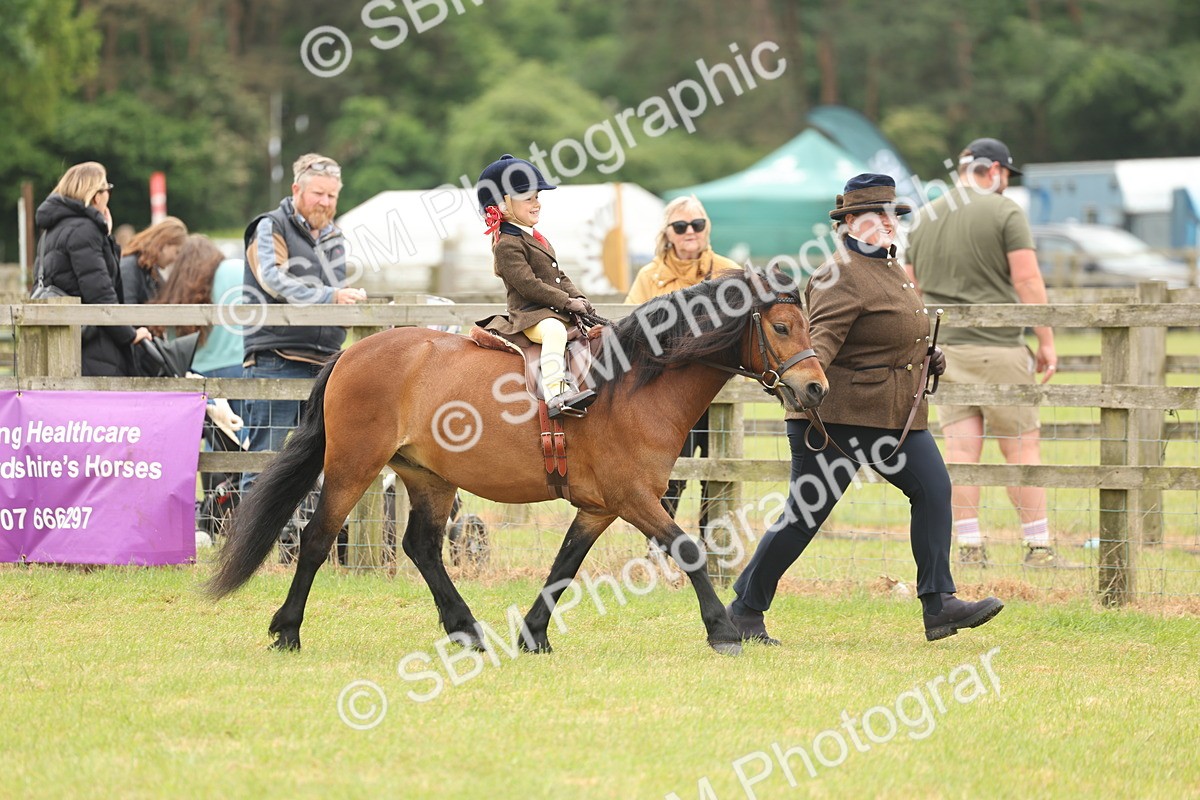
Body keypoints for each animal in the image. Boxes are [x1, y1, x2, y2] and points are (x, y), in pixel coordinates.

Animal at [207, 267, 828, 655]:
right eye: (781, 327)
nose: (816, 389)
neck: (629, 384)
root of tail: (353, 350)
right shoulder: (634, 499)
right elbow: (690, 550)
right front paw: (723, 631)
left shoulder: (600, 507)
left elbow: (563, 567)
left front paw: (534, 634)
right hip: (353, 468)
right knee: (315, 538)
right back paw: (288, 631)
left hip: (429, 477)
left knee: (421, 547)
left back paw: (466, 630)